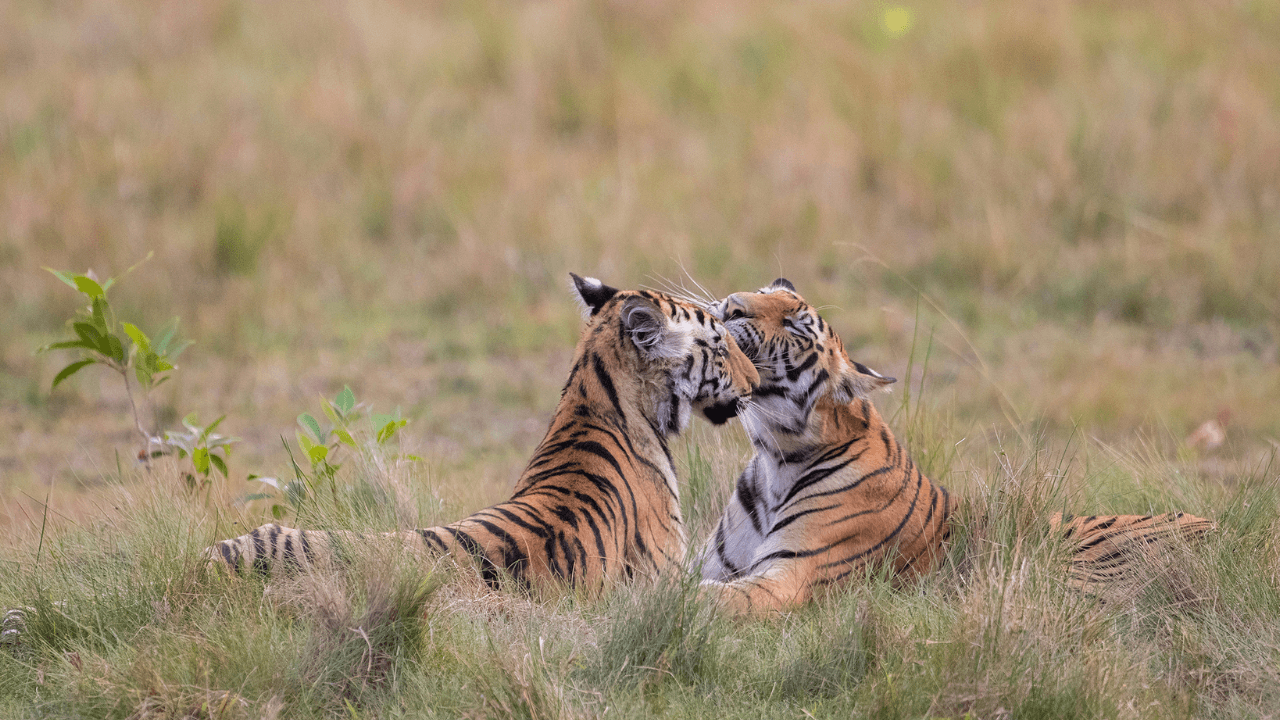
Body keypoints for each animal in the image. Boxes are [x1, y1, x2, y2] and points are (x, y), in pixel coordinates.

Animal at [698, 279, 1215, 615]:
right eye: (763, 293)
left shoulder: (790, 578)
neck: (776, 457)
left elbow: (707, 598)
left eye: (794, 325)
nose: (731, 306)